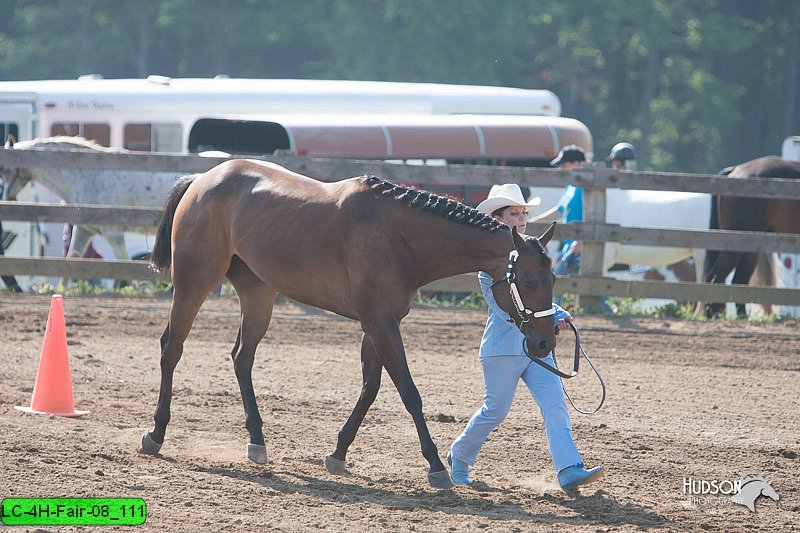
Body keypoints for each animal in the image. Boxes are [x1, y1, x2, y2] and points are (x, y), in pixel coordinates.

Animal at [139, 159, 556, 490]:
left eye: (553, 279)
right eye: (528, 282)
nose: (544, 344)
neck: (399, 236)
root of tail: (203, 179)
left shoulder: (377, 323)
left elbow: (370, 389)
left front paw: (338, 452)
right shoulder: (381, 323)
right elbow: (409, 392)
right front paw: (436, 466)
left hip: (258, 293)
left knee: (242, 357)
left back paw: (257, 440)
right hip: (194, 282)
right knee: (171, 348)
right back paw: (156, 434)